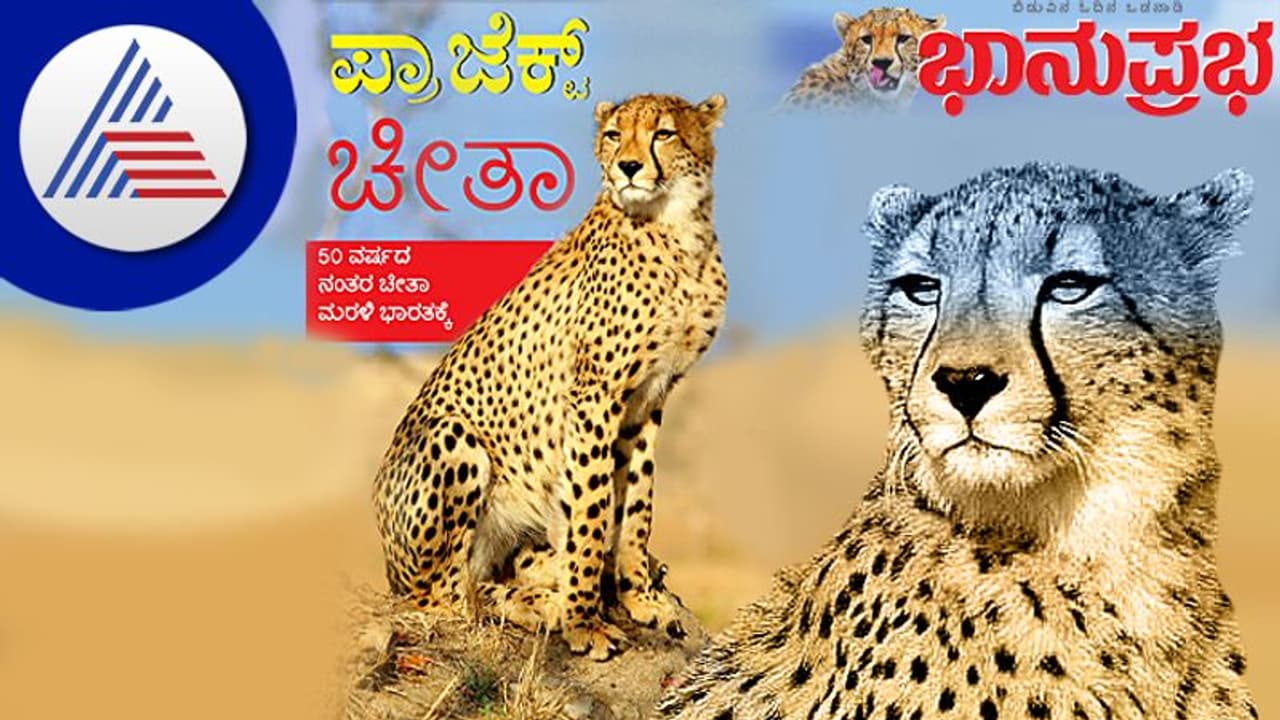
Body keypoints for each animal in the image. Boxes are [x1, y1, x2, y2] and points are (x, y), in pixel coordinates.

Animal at [373, 92, 729, 661]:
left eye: (664, 133)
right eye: (613, 134)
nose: (629, 167)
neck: (677, 231)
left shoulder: (649, 398)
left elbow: (637, 503)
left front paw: (638, 595)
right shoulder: (594, 396)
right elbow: (592, 505)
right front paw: (583, 620)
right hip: (452, 435)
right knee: (453, 597)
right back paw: (546, 601)